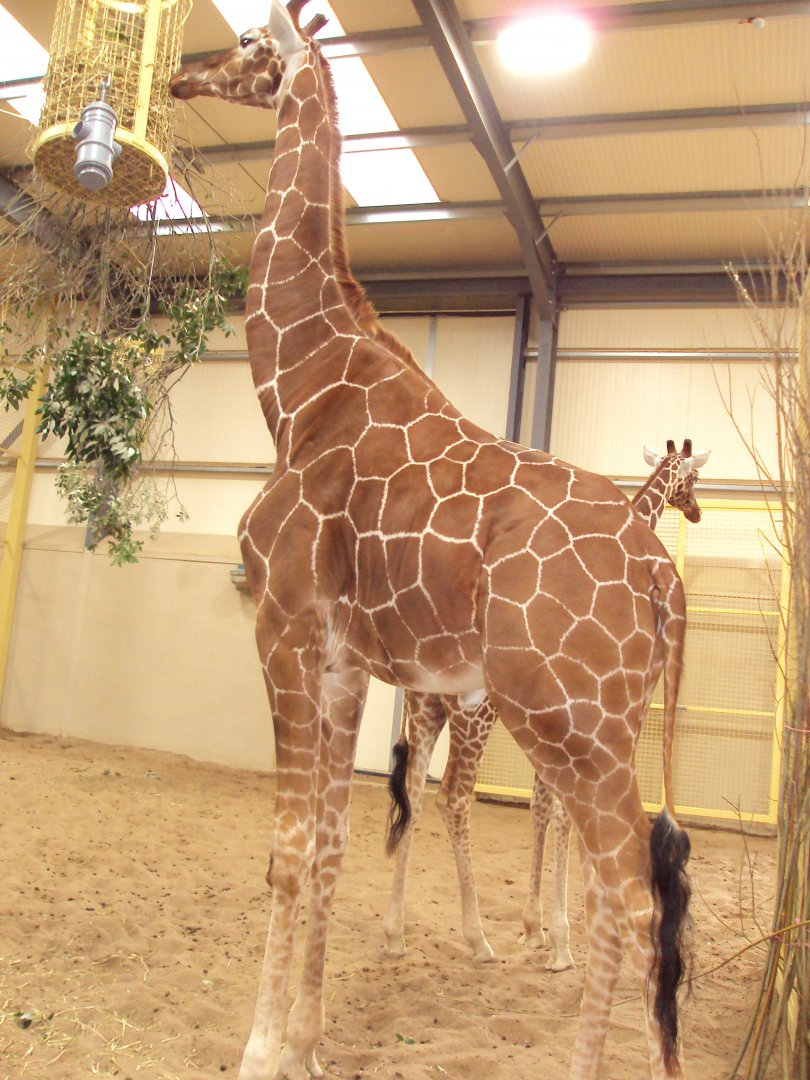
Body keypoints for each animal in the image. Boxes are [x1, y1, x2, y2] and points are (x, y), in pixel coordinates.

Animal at [383, 440, 710, 972]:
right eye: (694, 480)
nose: (698, 511)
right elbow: (565, 815)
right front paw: (561, 941)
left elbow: (540, 809)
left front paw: (534, 928)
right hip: (474, 715)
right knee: (453, 796)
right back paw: (477, 938)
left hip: (425, 707)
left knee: (412, 790)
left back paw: (394, 932)